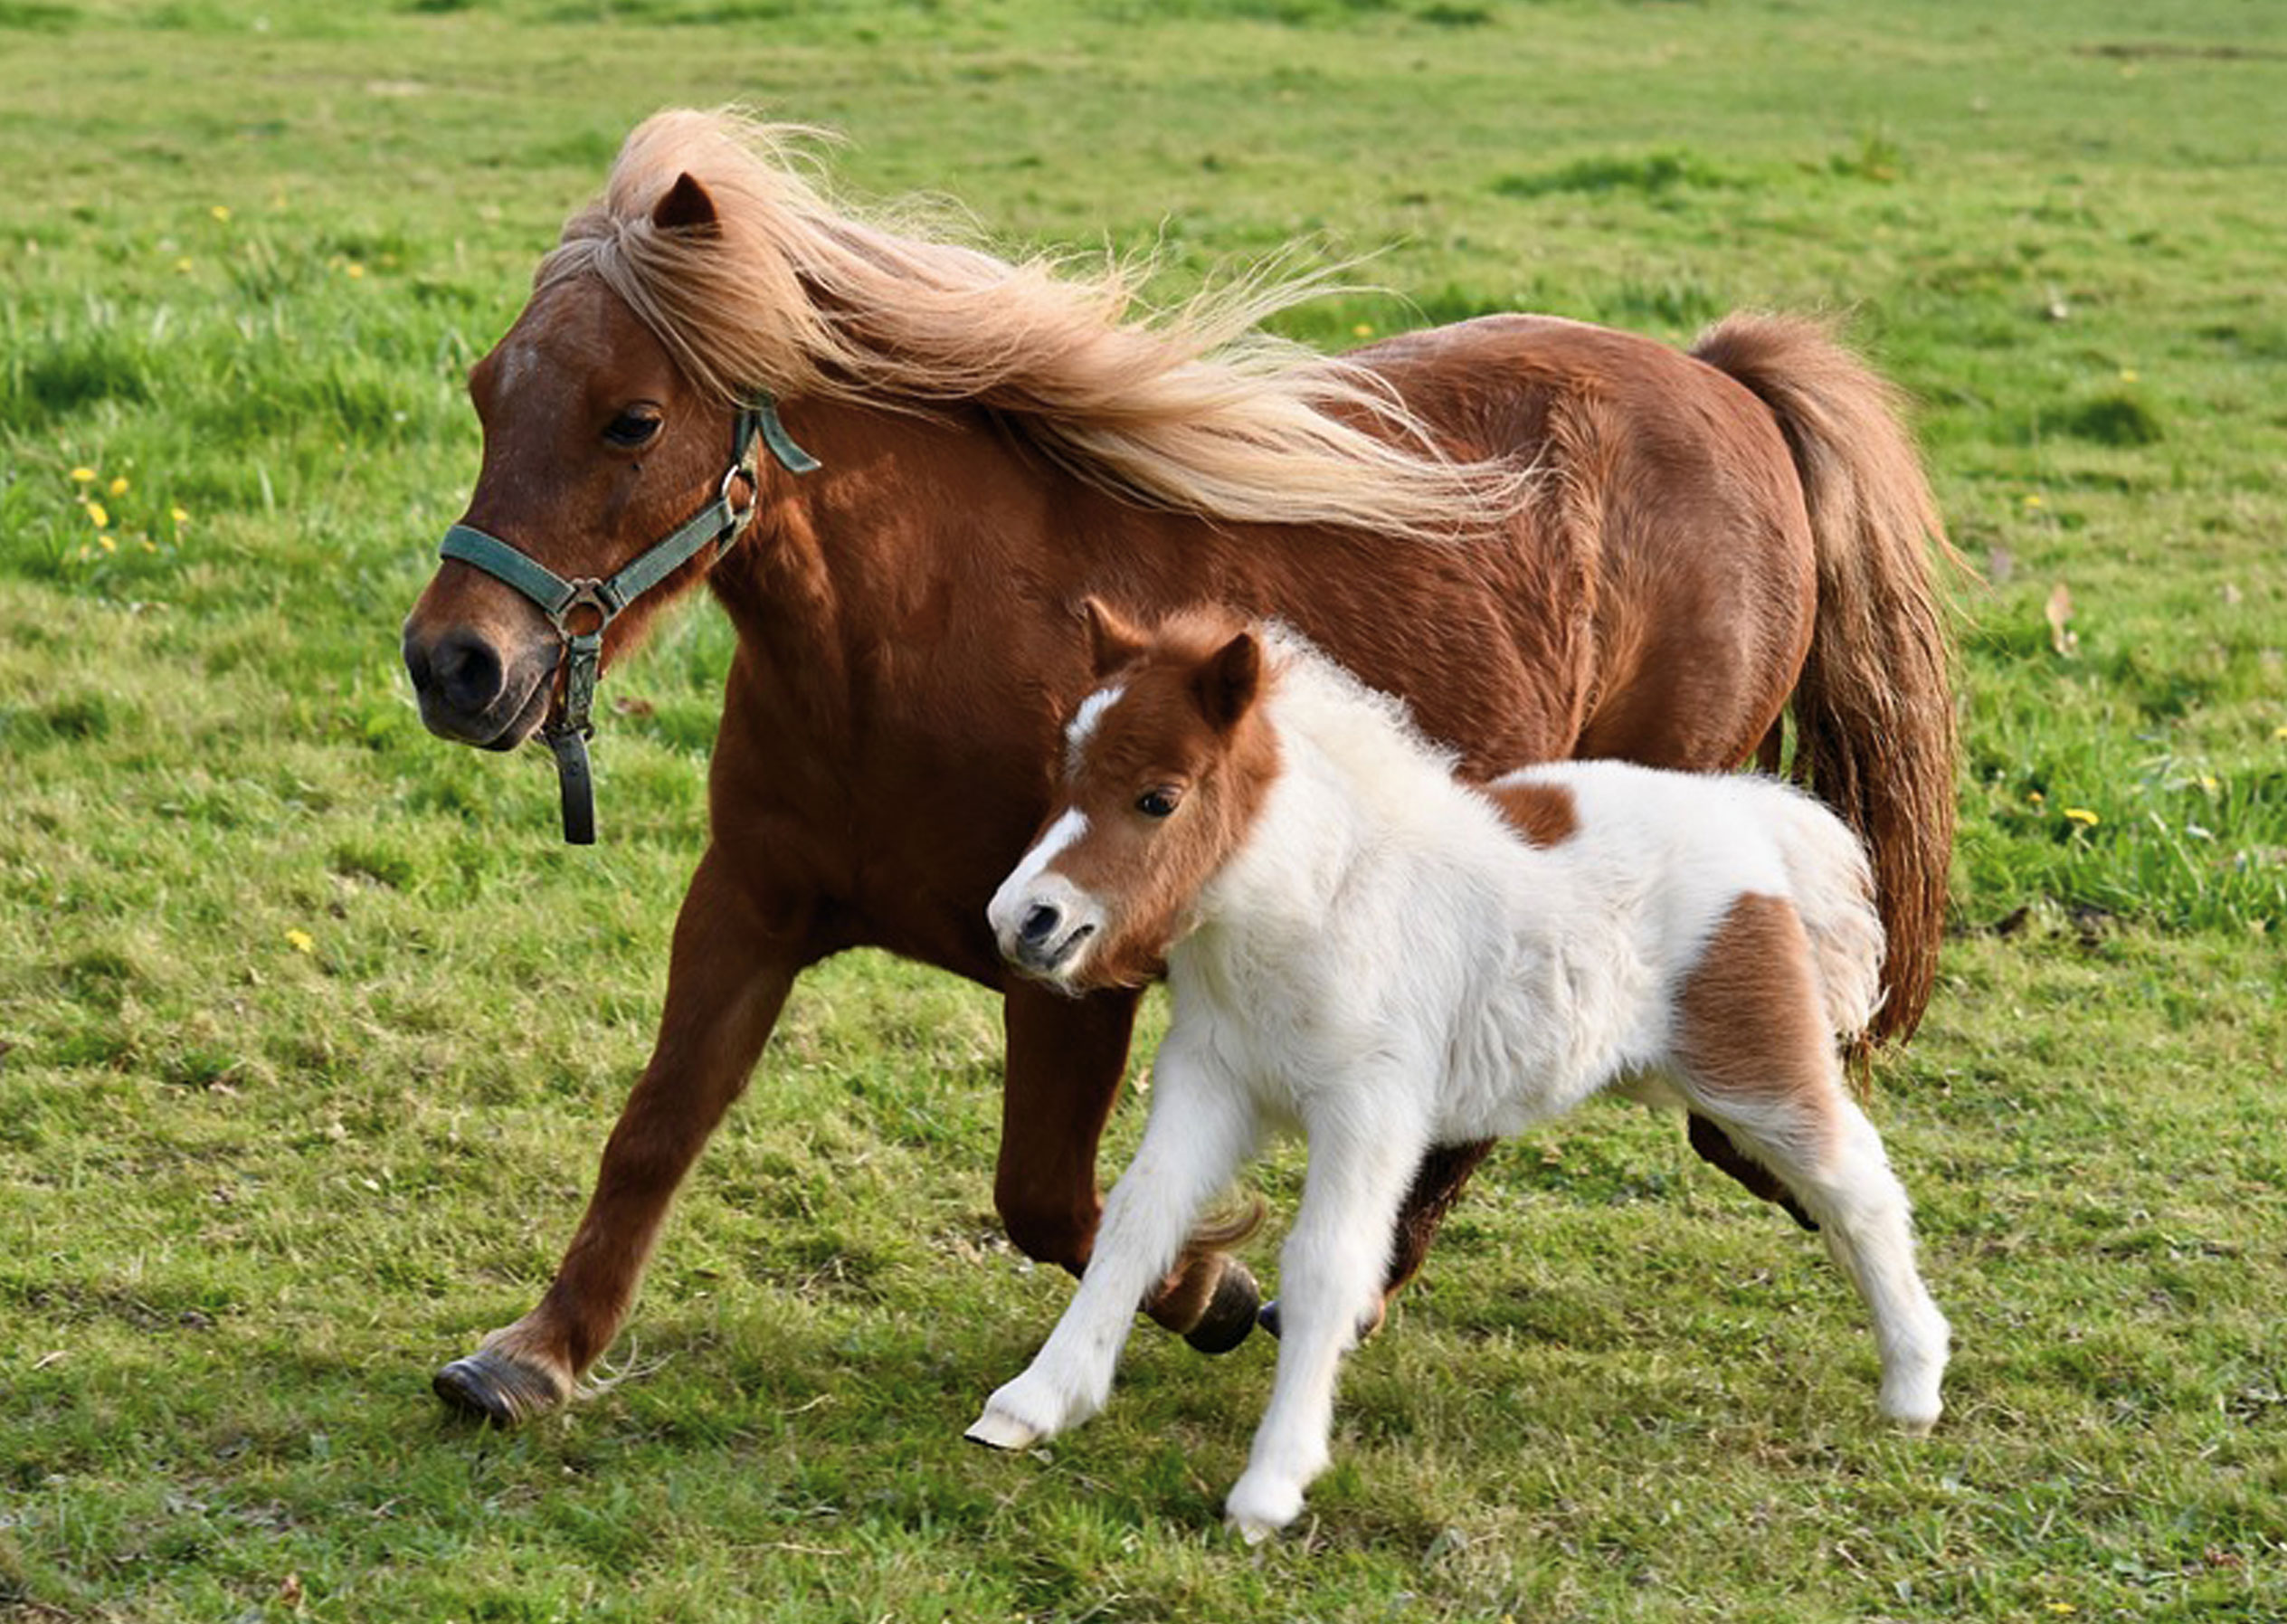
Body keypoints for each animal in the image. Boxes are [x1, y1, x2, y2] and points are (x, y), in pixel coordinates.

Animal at [402, 111, 1957, 1427]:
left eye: (632, 418)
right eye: (483, 393)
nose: (453, 664)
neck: (917, 634)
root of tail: (1725, 381)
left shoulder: (1073, 965)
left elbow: (1050, 1198)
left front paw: (1212, 1285)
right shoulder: (749, 904)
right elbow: (657, 1125)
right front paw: (535, 1352)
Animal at [964, 603, 1948, 1546]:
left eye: (1157, 798)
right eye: (1063, 778)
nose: (1023, 919)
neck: (1315, 905)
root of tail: (1750, 818)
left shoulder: (1369, 1111)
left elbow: (1326, 1264)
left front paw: (1269, 1488)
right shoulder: (1212, 1083)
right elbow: (1137, 1219)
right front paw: (1034, 1400)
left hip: (1753, 1067)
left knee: (1856, 1184)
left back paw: (1913, 1381)